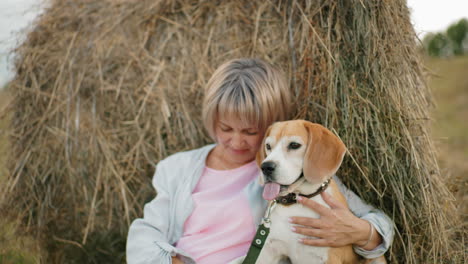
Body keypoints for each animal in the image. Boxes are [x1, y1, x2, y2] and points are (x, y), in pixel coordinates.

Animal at [252, 120, 388, 264]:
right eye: (268, 146)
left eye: (294, 145)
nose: (266, 167)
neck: (297, 203)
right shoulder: (268, 253)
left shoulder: (329, 258)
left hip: (377, 258)